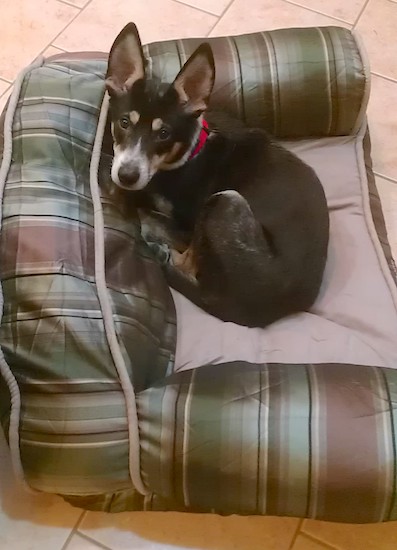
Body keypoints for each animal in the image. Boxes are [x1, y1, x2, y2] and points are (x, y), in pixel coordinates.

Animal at [104, 22, 328, 328]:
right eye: (124, 122)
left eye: (164, 134)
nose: (127, 175)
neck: (188, 152)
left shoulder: (186, 222)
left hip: (225, 200)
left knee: (188, 263)